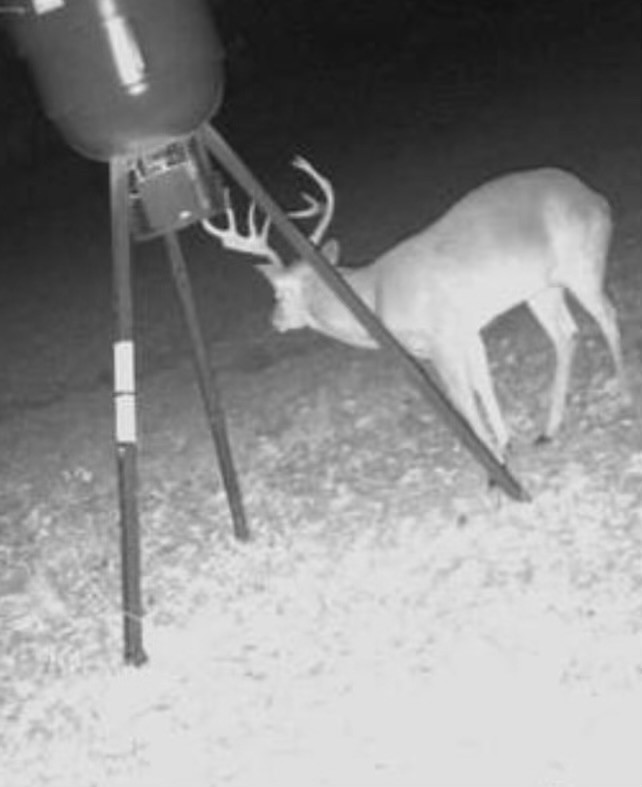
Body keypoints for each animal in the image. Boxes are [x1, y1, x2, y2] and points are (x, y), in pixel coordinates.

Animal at [202, 157, 629, 460]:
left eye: (278, 294)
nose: (274, 321)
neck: (374, 296)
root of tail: (598, 199)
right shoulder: (464, 333)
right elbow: (483, 386)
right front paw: (506, 442)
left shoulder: (440, 339)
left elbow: (462, 401)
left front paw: (494, 462)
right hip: (542, 288)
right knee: (566, 335)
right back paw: (549, 429)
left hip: (582, 263)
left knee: (607, 314)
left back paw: (622, 387)